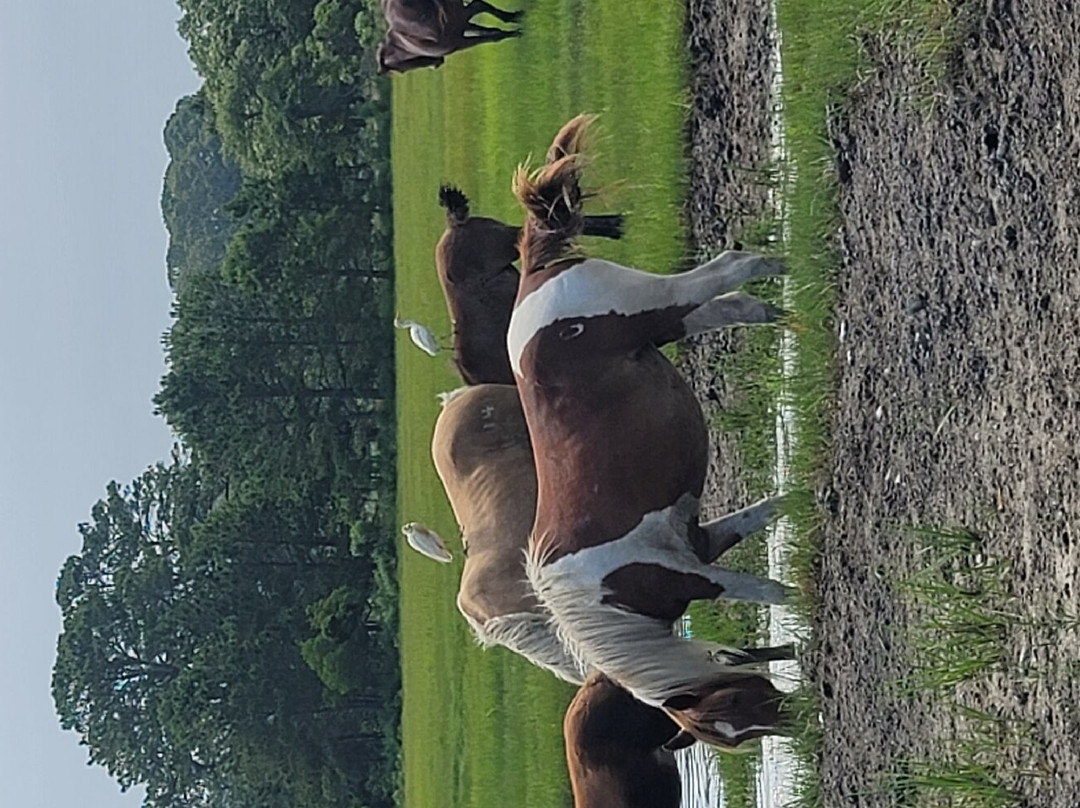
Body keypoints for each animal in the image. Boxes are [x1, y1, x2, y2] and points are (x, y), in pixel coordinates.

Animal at [375, 0, 522, 73]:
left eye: (399, 68)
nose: (434, 65)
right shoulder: (461, 37)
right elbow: (490, 34)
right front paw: (514, 29)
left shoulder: (461, 23)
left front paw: (514, 20)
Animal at [509, 115, 790, 751]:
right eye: (734, 723)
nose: (798, 717)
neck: (604, 598)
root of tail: (533, 275)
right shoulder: (700, 545)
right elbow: (767, 515)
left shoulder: (697, 573)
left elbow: (771, 593)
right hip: (674, 322)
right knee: (737, 301)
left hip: (659, 307)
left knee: (730, 269)